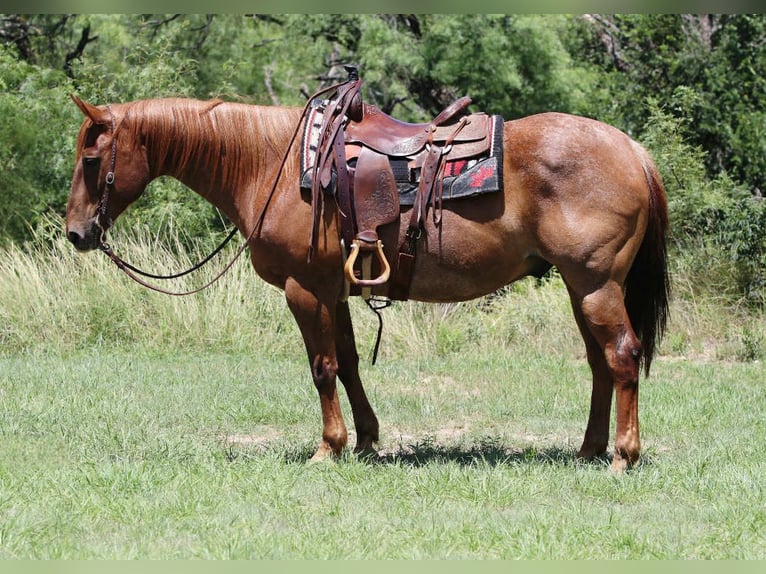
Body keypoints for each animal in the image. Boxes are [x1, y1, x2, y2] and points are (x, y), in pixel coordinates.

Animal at [65, 92, 670, 473]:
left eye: (92, 159)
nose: (76, 232)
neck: (271, 164)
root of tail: (633, 150)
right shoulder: (334, 291)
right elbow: (350, 364)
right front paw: (365, 441)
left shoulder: (304, 289)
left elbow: (322, 368)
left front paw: (327, 449)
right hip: (580, 287)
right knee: (600, 364)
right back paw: (590, 450)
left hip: (595, 284)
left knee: (621, 355)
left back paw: (623, 456)